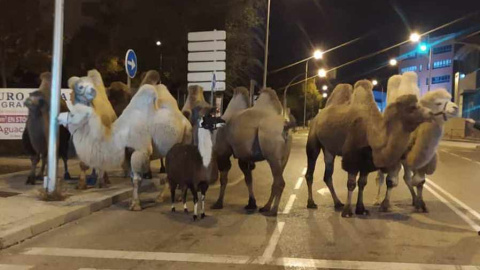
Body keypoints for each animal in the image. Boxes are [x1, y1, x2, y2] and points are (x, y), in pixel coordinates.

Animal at [211, 87, 292, 216]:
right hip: (284, 158)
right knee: (275, 181)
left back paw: (273, 211)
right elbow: (248, 178)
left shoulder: (223, 153)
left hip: (273, 156)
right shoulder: (244, 156)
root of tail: (286, 127)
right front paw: (251, 204)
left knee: (280, 182)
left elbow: (224, 178)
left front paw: (218, 203)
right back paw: (266, 207)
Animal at [306, 76, 434, 217]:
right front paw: (347, 211)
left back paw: (338, 203)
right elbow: (351, 184)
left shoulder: (367, 160)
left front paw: (360, 209)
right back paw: (311, 203)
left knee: (327, 175)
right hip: (313, 139)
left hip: (329, 149)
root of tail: (317, 117)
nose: (431, 113)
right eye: (412, 107)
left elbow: (362, 183)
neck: (373, 132)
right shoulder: (352, 157)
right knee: (310, 170)